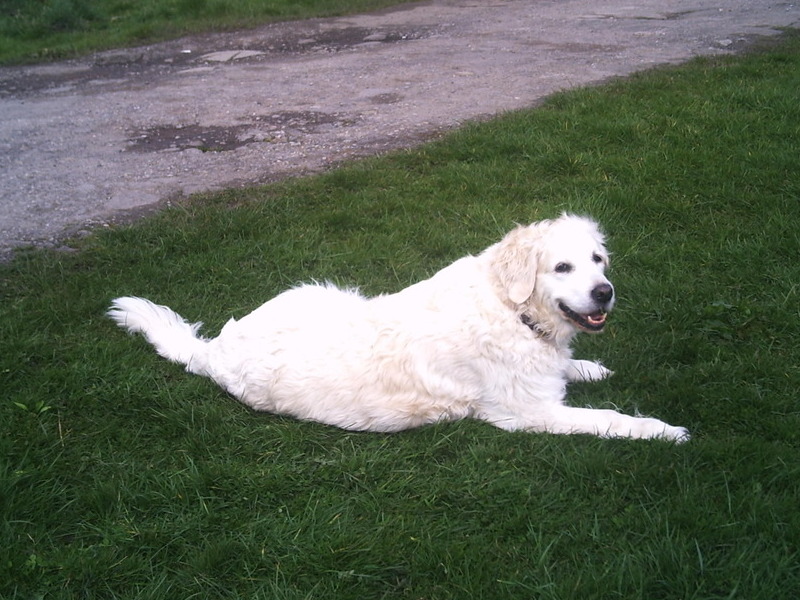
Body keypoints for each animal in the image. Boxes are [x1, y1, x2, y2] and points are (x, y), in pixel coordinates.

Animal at [108, 214, 688, 440]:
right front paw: (662, 429)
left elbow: (572, 367)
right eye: (562, 267)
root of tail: (214, 351)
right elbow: (608, 418)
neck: (512, 309)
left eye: (598, 261)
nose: (604, 292)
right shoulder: (529, 414)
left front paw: (587, 366)